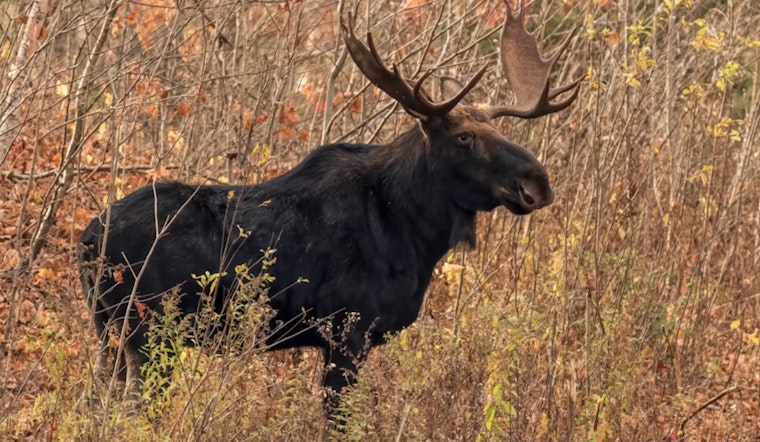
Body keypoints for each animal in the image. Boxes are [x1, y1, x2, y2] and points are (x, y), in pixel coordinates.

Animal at [78, 0, 582, 416]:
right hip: (148, 332)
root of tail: (86, 240)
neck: (415, 234)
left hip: (109, 333)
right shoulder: (347, 334)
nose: (537, 183)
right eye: (464, 137)